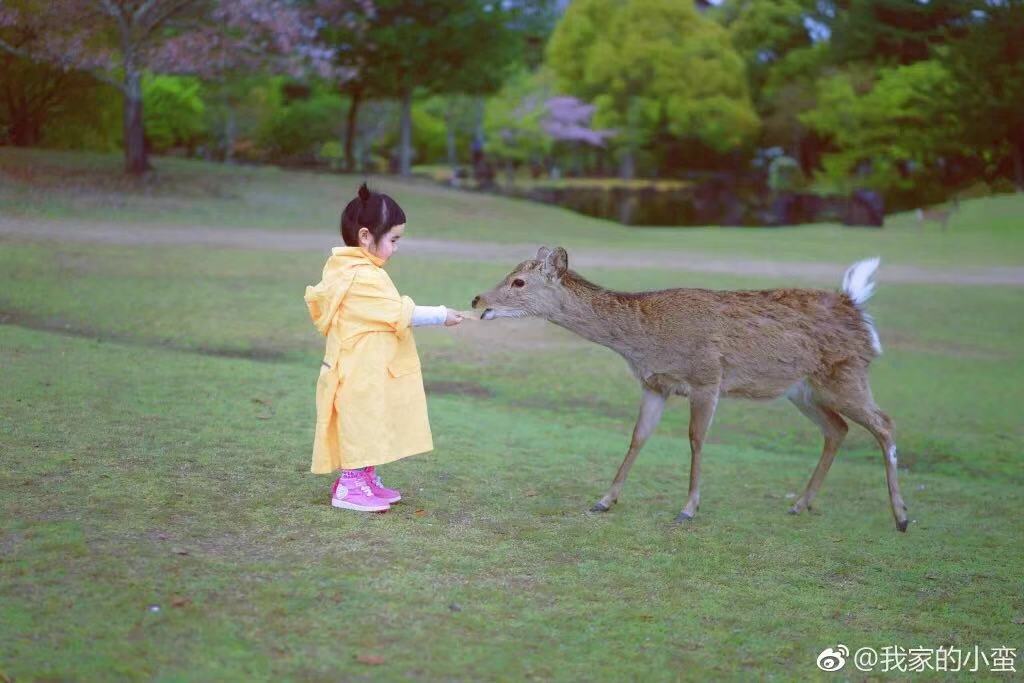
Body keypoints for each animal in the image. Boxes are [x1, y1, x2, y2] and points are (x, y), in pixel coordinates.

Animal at [471, 248, 913, 532]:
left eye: (519, 280)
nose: (477, 298)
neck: (645, 339)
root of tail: (856, 305)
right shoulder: (655, 384)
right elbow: (639, 437)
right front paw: (604, 500)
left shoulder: (706, 378)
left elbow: (696, 439)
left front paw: (687, 510)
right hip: (803, 390)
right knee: (838, 429)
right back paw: (800, 504)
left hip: (846, 375)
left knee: (885, 423)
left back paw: (902, 516)